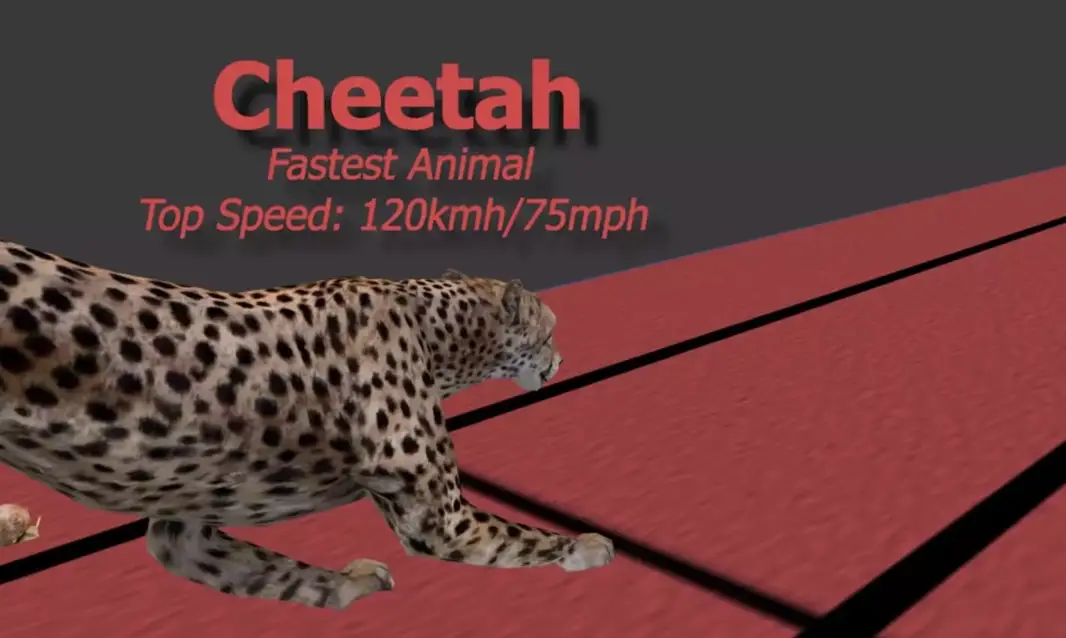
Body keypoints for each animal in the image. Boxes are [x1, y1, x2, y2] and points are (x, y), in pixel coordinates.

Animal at [0, 239, 614, 609]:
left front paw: (348, 586)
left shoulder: (184, 527)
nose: (562, 360)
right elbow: (522, 536)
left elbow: (263, 571)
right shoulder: (442, 519)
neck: (439, 334)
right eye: (550, 331)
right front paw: (584, 545)